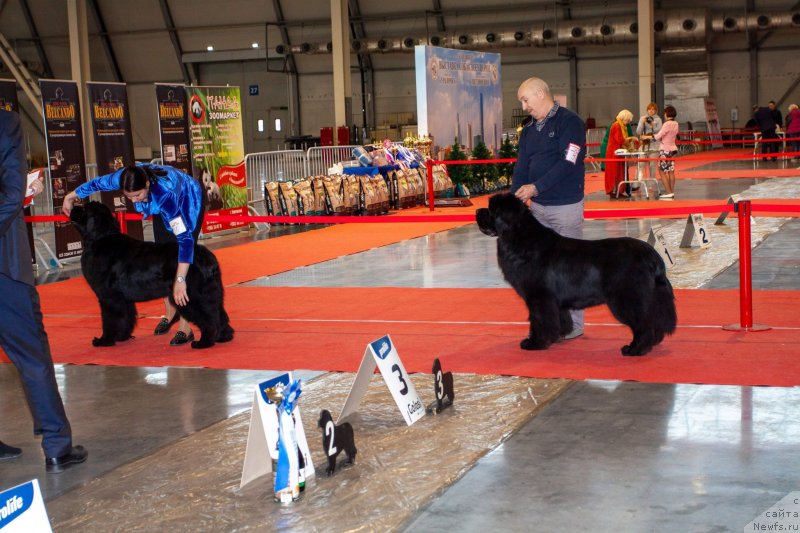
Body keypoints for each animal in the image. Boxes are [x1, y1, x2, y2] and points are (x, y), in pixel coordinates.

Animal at [70, 201, 233, 350]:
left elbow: (109, 320)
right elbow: (126, 317)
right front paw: (123, 337)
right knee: (219, 314)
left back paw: (204, 343)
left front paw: (104, 340)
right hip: (211, 294)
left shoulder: (109, 297)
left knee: (209, 318)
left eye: (84, 209)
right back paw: (223, 337)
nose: (72, 206)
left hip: (192, 296)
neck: (101, 237)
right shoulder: (123, 298)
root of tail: (207, 258)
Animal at [478, 193, 680, 356]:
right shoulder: (554, 300)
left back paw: (635, 349)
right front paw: (558, 335)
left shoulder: (538, 297)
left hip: (627, 298)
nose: (478, 211)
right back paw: (653, 342)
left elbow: (538, 320)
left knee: (642, 322)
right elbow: (559, 318)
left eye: (491, 211)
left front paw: (534, 343)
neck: (520, 237)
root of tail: (652, 255)